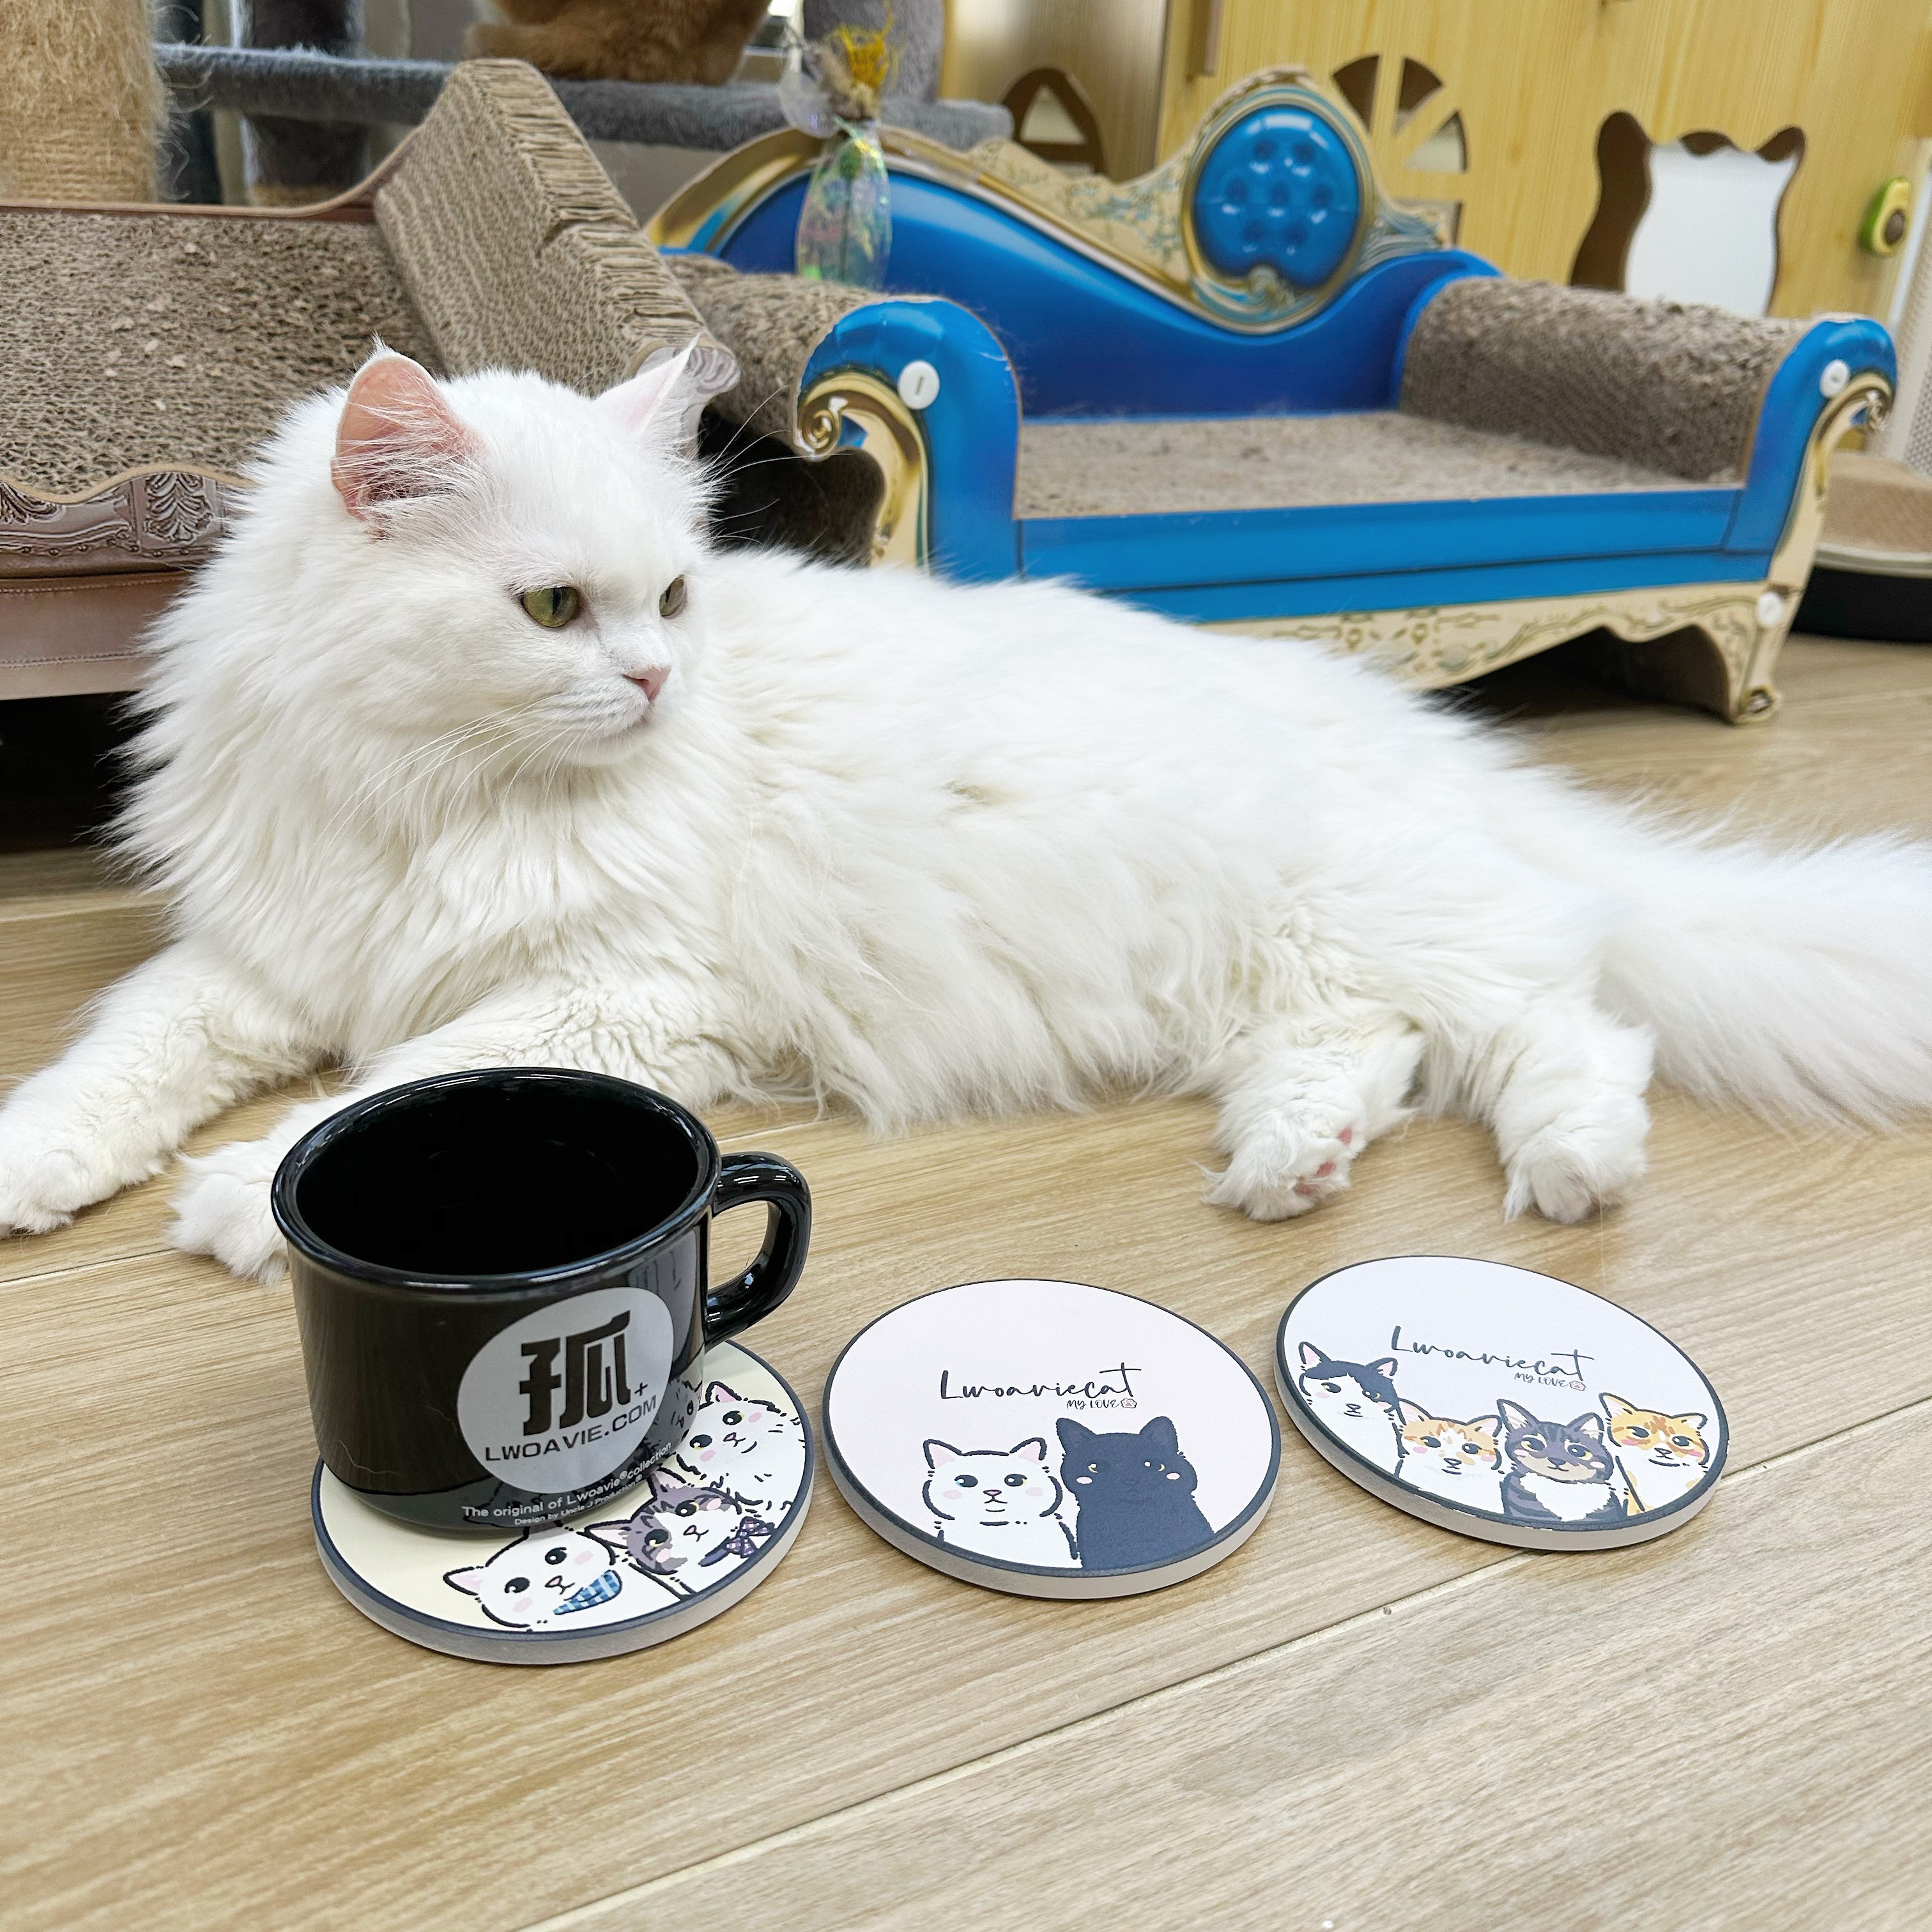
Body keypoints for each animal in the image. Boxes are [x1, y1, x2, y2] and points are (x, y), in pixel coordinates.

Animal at [1, 342, 1929, 1279]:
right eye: (555, 611)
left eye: (673, 600)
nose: (659, 684)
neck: (434, 795)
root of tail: (1430, 736)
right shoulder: (274, 956)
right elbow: (117, 1063)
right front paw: (37, 1170)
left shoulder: (614, 996)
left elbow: (402, 1087)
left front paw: (244, 1201)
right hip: (1281, 968)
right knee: (1364, 1054)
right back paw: (1286, 1168)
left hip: (1383, 918)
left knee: (1568, 1031)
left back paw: (1572, 1173)